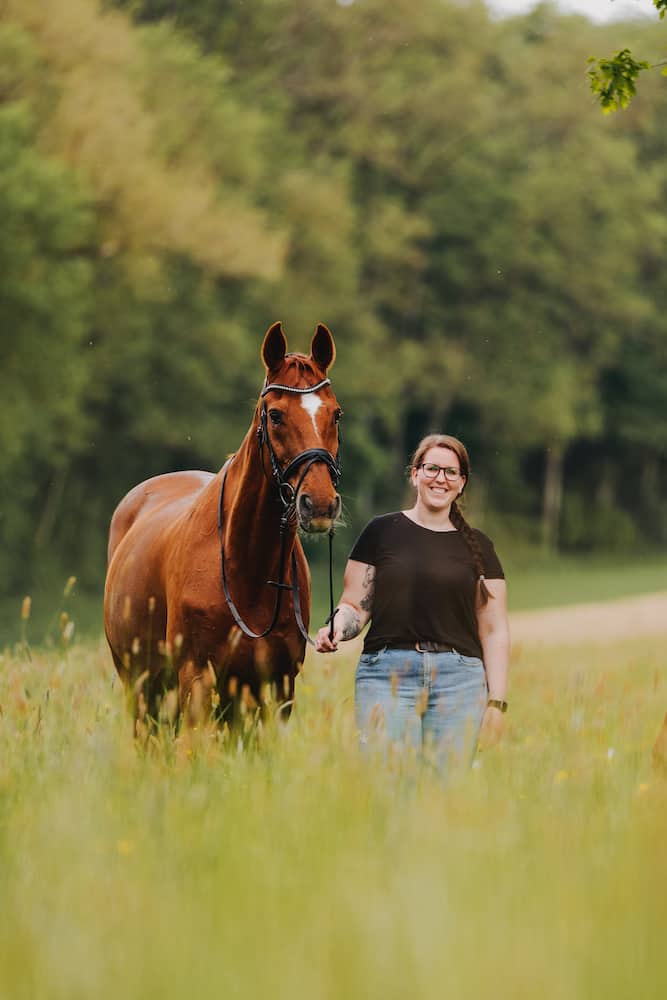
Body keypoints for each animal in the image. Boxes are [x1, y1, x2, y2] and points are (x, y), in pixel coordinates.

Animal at [103, 322, 342, 734]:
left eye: (336, 414)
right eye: (275, 415)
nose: (321, 503)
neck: (245, 567)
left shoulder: (277, 687)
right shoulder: (196, 679)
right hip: (141, 689)